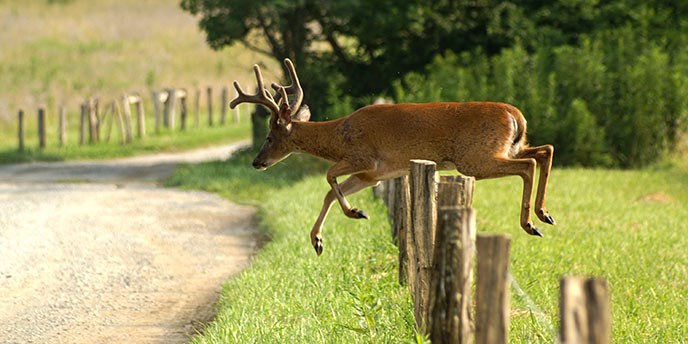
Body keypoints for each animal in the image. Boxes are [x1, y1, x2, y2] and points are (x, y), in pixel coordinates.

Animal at [231, 58, 552, 255]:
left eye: (270, 137)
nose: (256, 162)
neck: (338, 136)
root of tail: (515, 115)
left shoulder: (363, 158)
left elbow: (328, 176)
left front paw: (355, 212)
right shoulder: (372, 175)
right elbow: (329, 192)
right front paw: (318, 240)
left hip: (475, 157)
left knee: (528, 164)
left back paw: (530, 223)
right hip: (507, 146)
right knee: (544, 151)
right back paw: (543, 214)